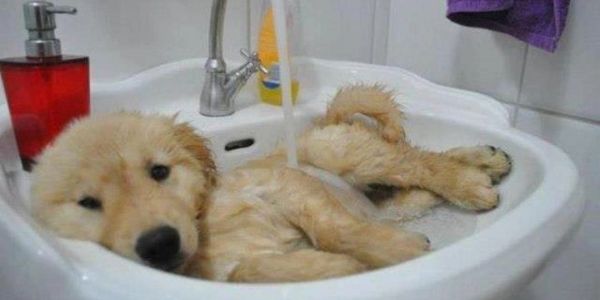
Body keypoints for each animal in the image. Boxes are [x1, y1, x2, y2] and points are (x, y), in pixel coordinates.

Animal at [31, 85, 510, 284]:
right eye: (88, 202)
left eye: (159, 171)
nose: (159, 244)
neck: (206, 228)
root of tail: (321, 122)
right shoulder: (230, 272)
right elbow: (251, 270)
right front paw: (339, 267)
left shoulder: (283, 186)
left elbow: (332, 230)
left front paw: (396, 252)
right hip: (385, 197)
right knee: (415, 183)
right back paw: (483, 162)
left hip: (347, 155)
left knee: (419, 161)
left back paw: (474, 180)